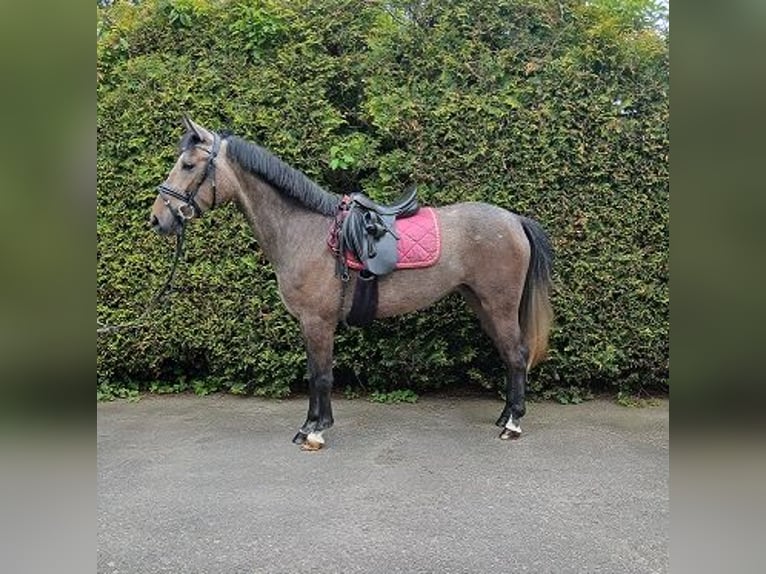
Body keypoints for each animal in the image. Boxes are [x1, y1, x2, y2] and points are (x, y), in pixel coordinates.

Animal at [150, 117, 553, 451]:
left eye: (188, 165)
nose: (157, 220)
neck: (305, 231)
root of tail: (514, 220)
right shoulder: (310, 323)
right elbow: (315, 373)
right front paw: (311, 425)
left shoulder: (317, 321)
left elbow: (321, 375)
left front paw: (315, 431)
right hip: (482, 304)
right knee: (510, 357)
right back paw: (505, 416)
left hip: (498, 305)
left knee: (517, 355)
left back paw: (513, 425)